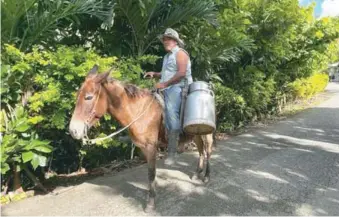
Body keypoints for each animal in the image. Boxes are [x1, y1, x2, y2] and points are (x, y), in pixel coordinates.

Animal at [68, 65, 215, 212]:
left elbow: (151, 173)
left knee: (207, 152)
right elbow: (149, 174)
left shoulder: (151, 147)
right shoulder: (143, 148)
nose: (73, 130)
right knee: (201, 151)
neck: (139, 111)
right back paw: (197, 174)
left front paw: (150, 203)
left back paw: (207, 177)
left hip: (207, 133)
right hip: (196, 133)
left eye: (89, 97)